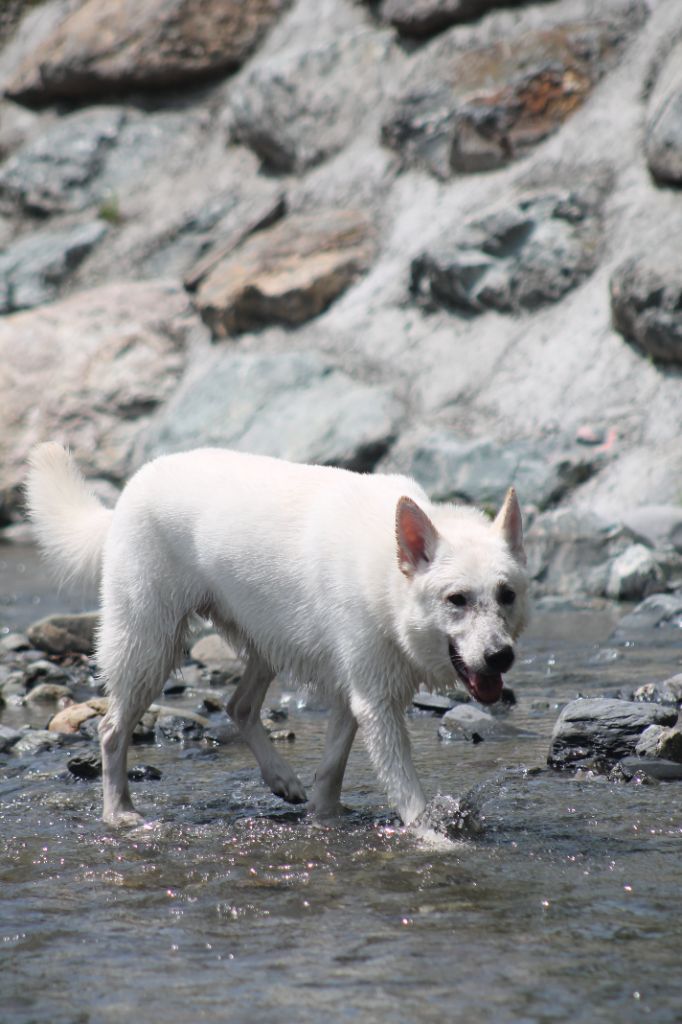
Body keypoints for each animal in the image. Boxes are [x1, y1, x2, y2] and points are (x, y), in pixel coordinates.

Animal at [25, 444, 524, 827]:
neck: (386, 577)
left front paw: (325, 817)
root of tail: (129, 490)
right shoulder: (375, 701)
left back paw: (281, 779)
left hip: (267, 640)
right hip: (149, 647)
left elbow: (332, 769)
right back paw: (119, 813)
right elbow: (407, 792)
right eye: (456, 599)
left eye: (507, 595)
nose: (501, 657)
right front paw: (432, 837)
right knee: (112, 729)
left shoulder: (353, 691)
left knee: (239, 706)